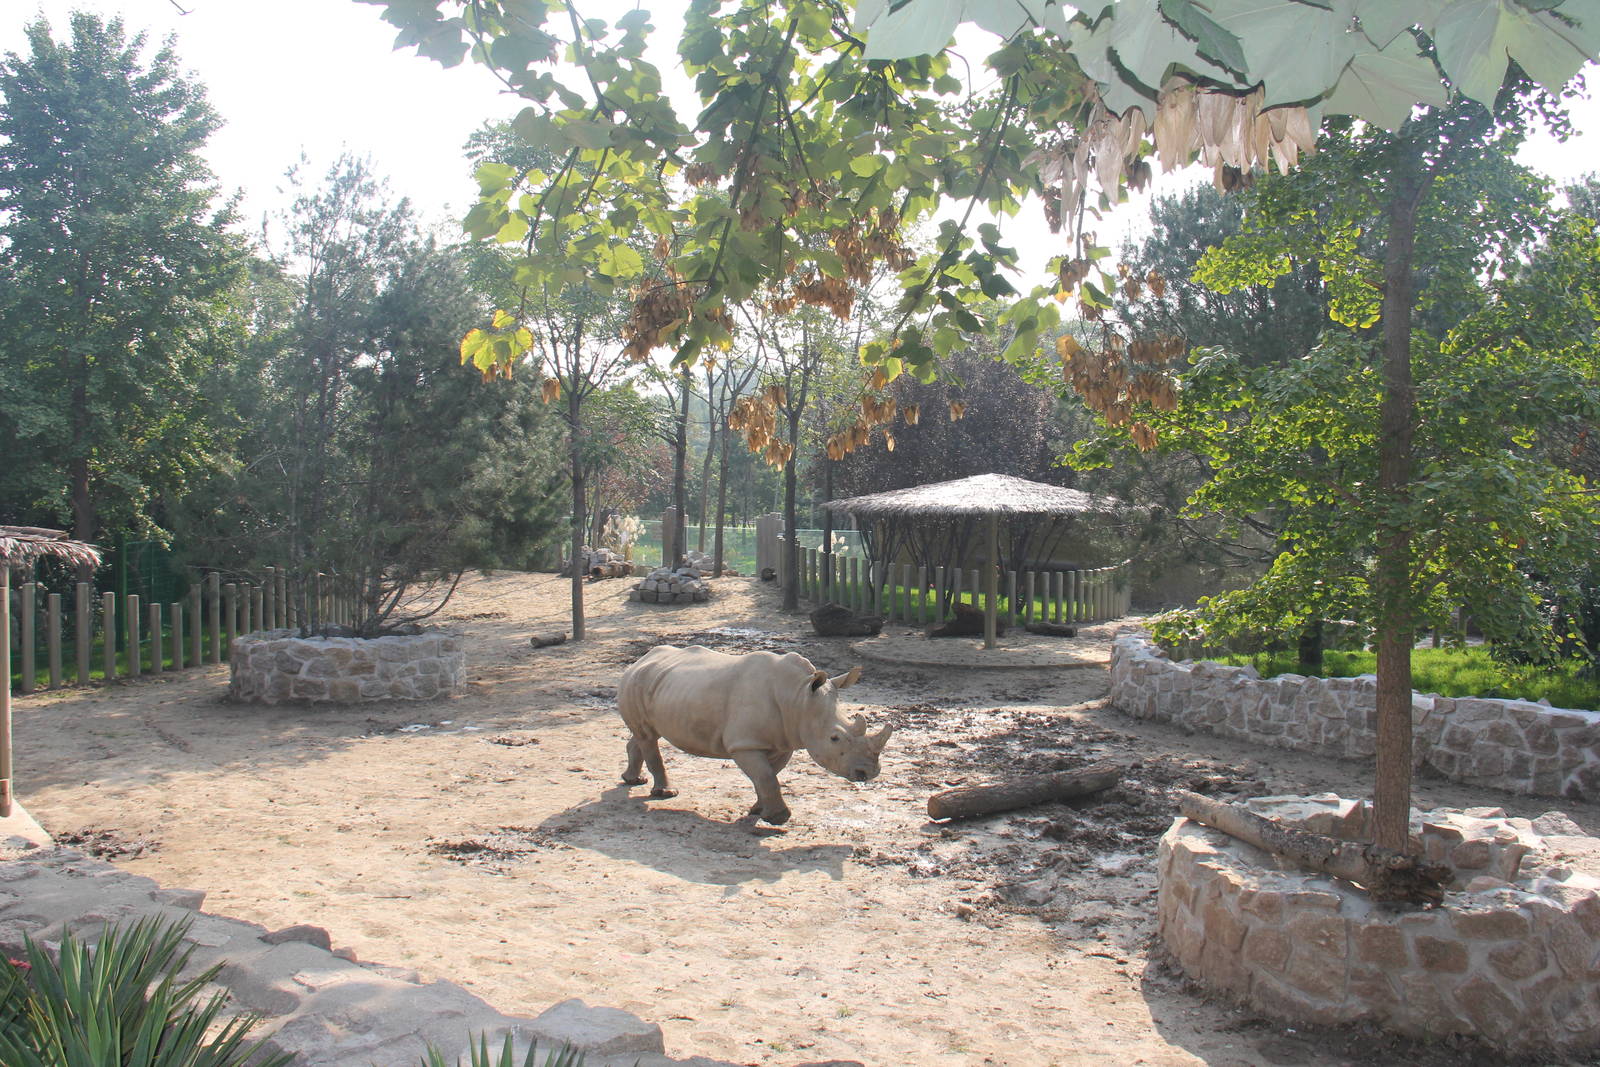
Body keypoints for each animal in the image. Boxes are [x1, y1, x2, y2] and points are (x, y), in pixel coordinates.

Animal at [616, 645, 892, 825]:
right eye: (835, 738)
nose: (869, 773)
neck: (798, 698)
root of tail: (640, 660)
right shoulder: (744, 744)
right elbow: (766, 776)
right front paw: (778, 819)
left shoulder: (783, 741)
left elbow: (768, 775)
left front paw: (759, 811)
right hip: (635, 681)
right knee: (647, 735)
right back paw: (665, 794)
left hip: (660, 684)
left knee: (644, 735)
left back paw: (633, 780)